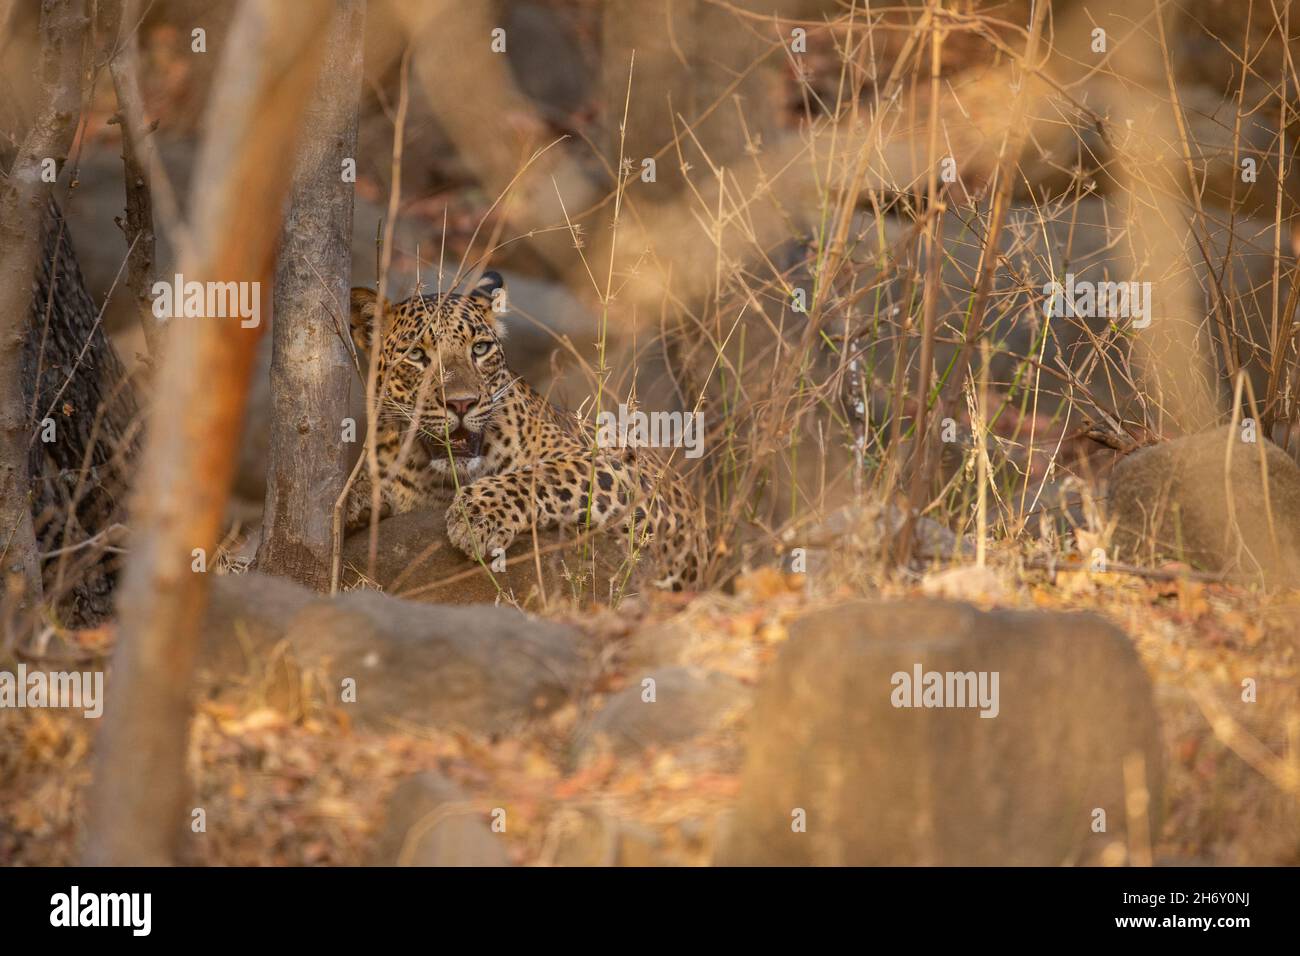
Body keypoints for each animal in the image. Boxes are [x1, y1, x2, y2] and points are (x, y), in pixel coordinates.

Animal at [343, 270, 712, 590]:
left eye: (479, 349)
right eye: (416, 355)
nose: (462, 404)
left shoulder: (628, 474)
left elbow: (545, 474)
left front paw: (477, 517)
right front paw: (354, 501)